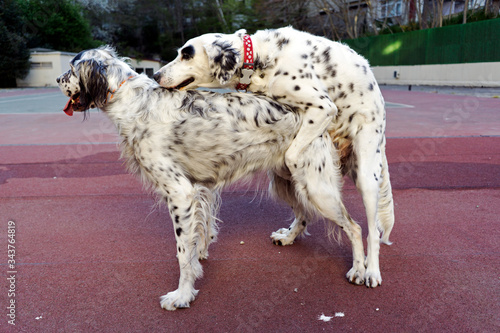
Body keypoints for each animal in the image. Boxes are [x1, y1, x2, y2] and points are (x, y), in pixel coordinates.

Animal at [57, 46, 368, 308]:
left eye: (71, 69)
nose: (58, 79)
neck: (132, 101)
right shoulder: (200, 189)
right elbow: (201, 232)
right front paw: (201, 256)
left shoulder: (180, 192)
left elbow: (183, 251)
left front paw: (182, 295)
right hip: (285, 182)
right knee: (303, 215)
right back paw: (289, 238)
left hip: (317, 188)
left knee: (354, 227)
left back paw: (359, 269)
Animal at [156, 26, 394, 286]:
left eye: (186, 54)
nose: (156, 75)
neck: (263, 55)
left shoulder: (323, 108)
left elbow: (292, 155)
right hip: (280, 181)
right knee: (303, 214)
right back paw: (289, 236)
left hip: (366, 176)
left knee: (371, 232)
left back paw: (369, 271)